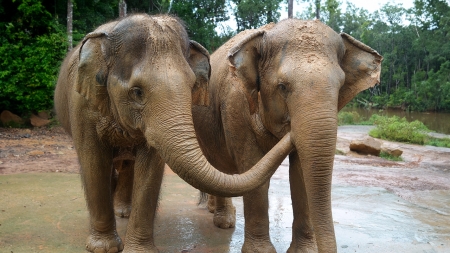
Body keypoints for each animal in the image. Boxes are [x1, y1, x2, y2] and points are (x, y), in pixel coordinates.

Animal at [54, 14, 294, 253]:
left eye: (191, 86)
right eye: (137, 92)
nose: (290, 130)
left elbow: (150, 167)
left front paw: (138, 251)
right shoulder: (81, 105)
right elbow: (93, 162)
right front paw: (104, 248)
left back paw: (125, 212)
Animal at [190, 18, 384, 252]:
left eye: (340, 87)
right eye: (282, 87)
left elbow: (300, 174)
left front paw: (305, 250)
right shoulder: (235, 105)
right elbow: (253, 167)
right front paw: (260, 251)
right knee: (219, 164)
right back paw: (224, 222)